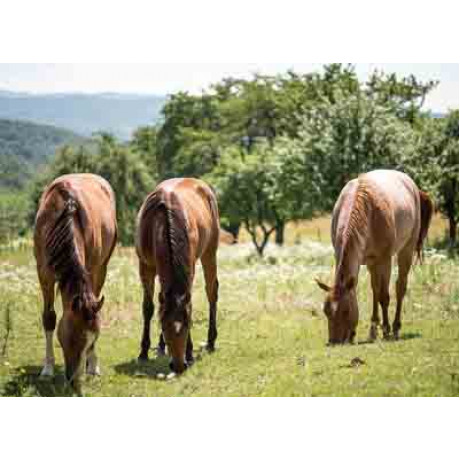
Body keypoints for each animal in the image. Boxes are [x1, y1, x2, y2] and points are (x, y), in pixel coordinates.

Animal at [34, 174, 117, 390]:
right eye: (71, 338)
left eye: (92, 339)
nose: (74, 381)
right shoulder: (44, 274)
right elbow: (49, 318)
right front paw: (47, 369)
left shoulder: (91, 270)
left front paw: (92, 363)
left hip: (101, 269)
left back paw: (92, 365)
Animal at [136, 178, 220, 376]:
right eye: (163, 325)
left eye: (188, 325)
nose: (179, 365)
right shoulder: (145, 267)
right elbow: (148, 308)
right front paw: (143, 351)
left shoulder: (190, 267)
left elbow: (189, 305)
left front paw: (189, 353)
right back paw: (160, 347)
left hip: (210, 252)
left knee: (211, 292)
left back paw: (211, 341)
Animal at [314, 171, 434, 344]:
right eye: (326, 310)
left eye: (346, 311)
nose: (334, 342)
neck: (366, 210)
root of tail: (413, 186)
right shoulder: (357, 258)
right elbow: (374, 292)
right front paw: (372, 331)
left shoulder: (384, 259)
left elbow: (384, 296)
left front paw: (386, 331)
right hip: (372, 262)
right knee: (376, 289)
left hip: (406, 248)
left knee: (400, 287)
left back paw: (395, 328)